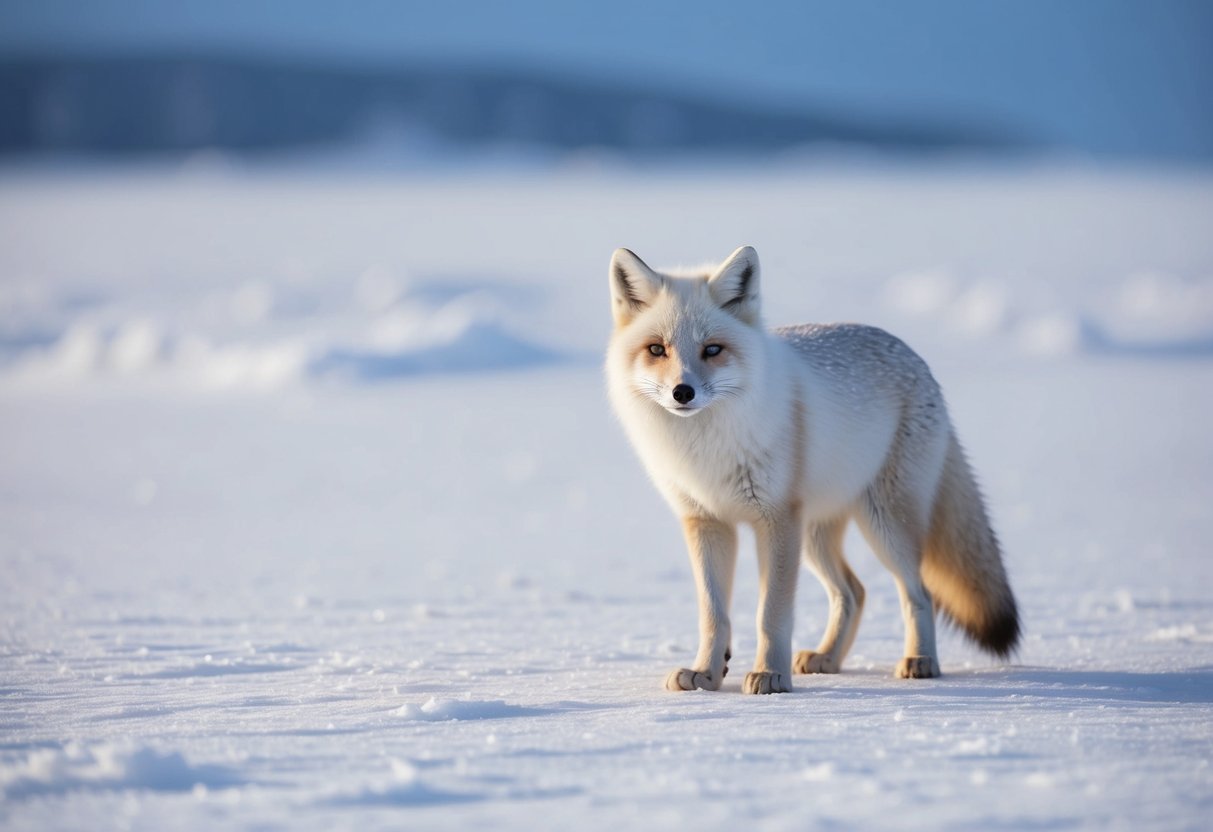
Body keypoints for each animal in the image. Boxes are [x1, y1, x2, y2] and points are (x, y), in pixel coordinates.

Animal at [605, 245, 1019, 694]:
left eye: (712, 350)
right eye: (657, 350)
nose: (683, 392)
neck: (707, 447)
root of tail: (917, 360)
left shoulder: (775, 520)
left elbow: (771, 614)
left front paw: (770, 676)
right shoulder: (707, 521)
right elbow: (714, 615)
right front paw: (706, 675)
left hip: (883, 526)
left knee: (918, 592)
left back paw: (920, 660)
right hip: (816, 535)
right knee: (853, 592)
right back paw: (828, 658)